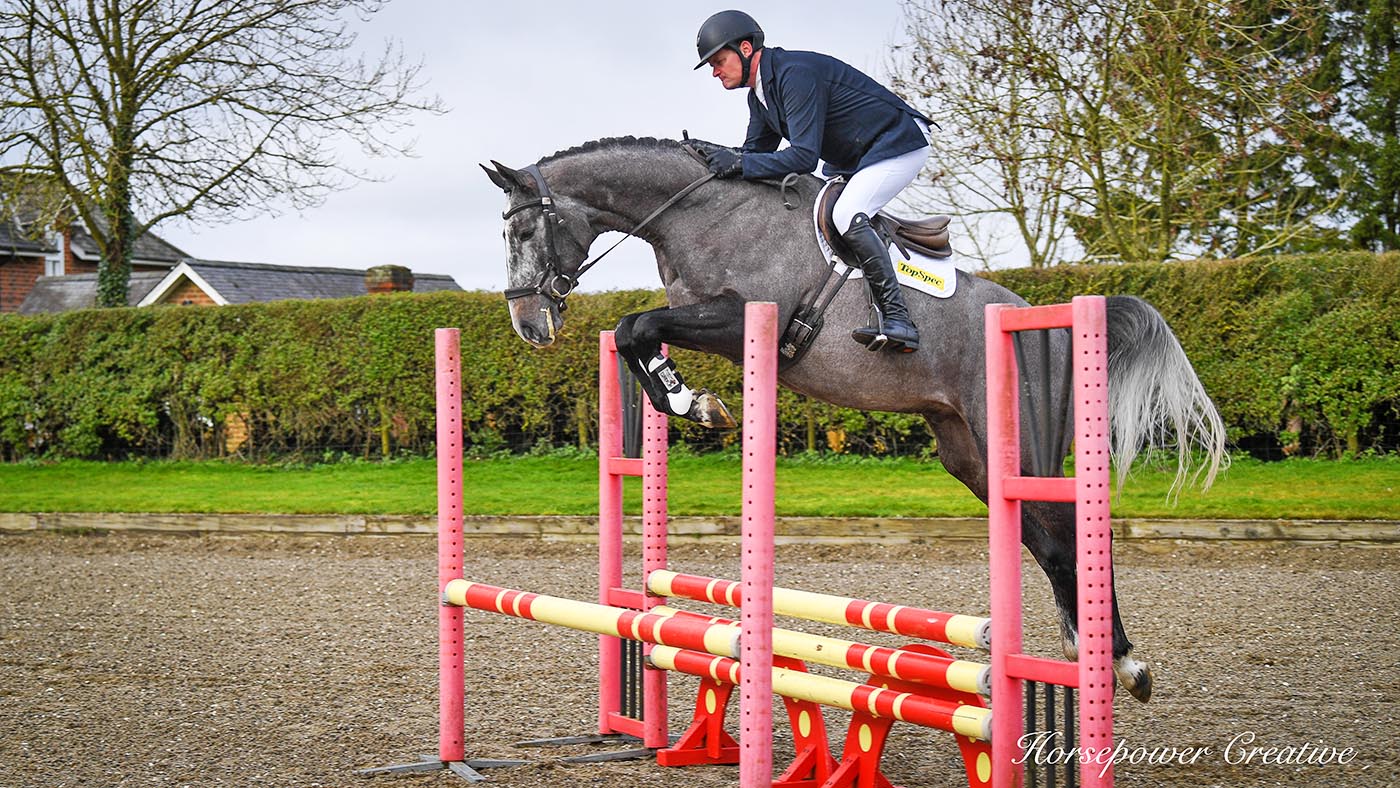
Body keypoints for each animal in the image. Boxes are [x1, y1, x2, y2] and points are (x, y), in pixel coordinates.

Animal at [482, 136, 1228, 703]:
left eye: (523, 229)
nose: (528, 327)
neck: (699, 212)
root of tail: (1047, 320)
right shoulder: (706, 323)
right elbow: (634, 331)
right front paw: (694, 402)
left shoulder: (741, 317)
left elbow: (639, 324)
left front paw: (697, 404)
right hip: (968, 454)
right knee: (1047, 543)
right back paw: (1083, 652)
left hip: (1019, 446)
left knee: (1071, 535)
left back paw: (1123, 662)